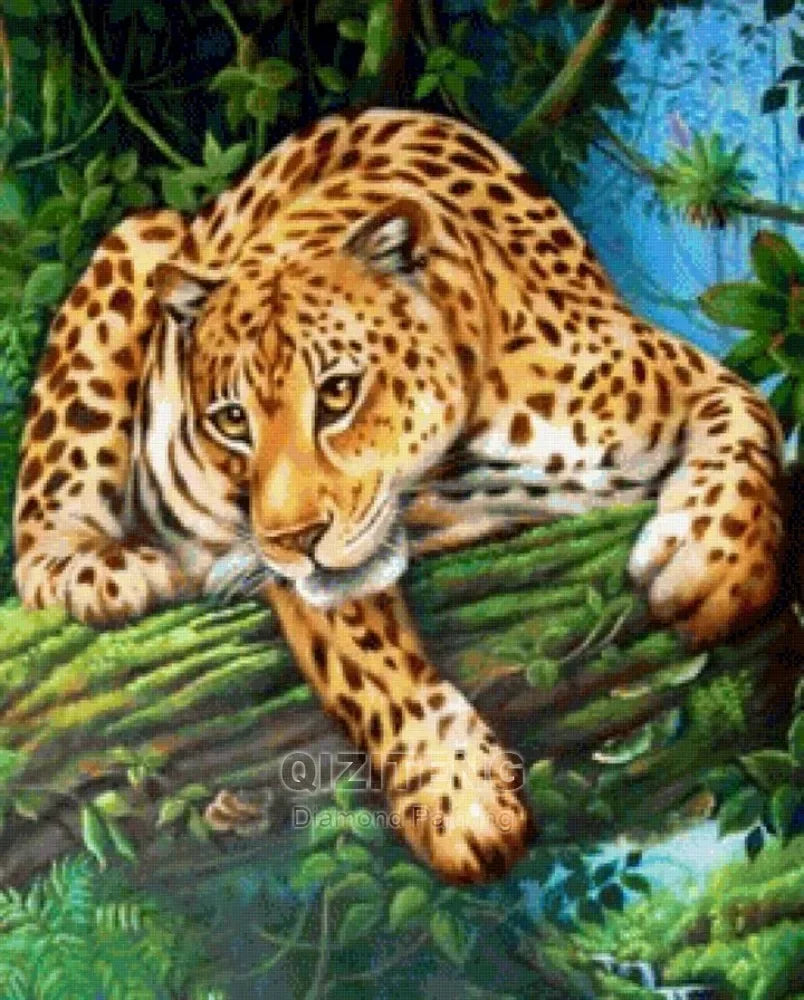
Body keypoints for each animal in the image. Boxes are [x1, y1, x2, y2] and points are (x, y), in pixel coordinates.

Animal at [12, 109, 785, 883]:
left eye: (338, 392)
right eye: (231, 421)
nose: (290, 540)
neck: (461, 460)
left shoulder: (683, 376)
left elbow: (749, 420)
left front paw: (715, 572)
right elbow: (366, 659)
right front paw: (458, 792)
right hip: (136, 240)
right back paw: (94, 566)